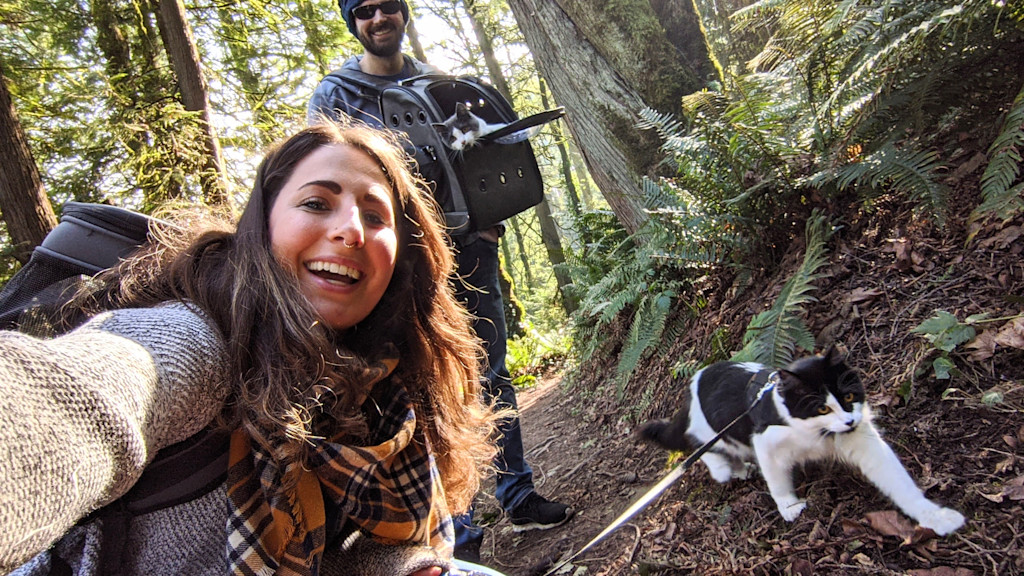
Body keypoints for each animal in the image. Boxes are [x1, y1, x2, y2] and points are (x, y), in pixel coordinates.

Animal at [638, 342, 966, 537]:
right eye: (822, 408)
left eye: (849, 397)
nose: (849, 421)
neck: (817, 434)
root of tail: (693, 382)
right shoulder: (766, 441)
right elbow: (777, 481)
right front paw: (789, 507)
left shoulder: (862, 441)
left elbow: (900, 484)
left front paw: (935, 517)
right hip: (710, 432)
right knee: (701, 446)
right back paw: (725, 469)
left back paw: (742, 468)